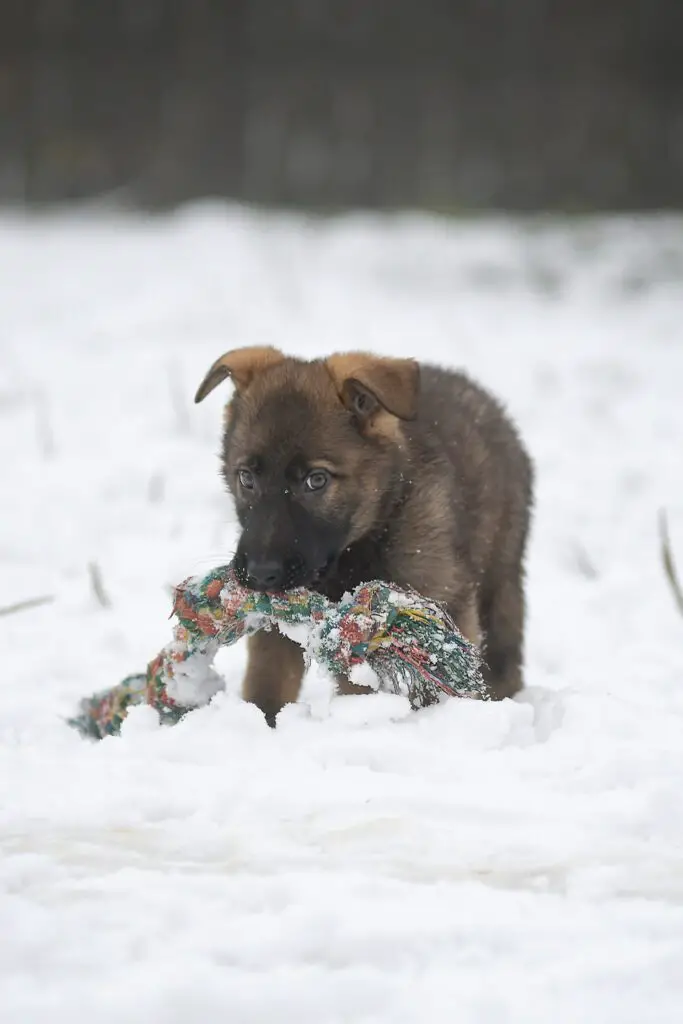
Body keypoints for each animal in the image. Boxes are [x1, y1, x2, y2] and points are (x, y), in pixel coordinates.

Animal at [193, 348, 532, 724]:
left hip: (500, 580)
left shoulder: (441, 606)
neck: (356, 550)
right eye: (246, 478)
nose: (260, 574)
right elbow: (268, 685)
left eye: (316, 480)